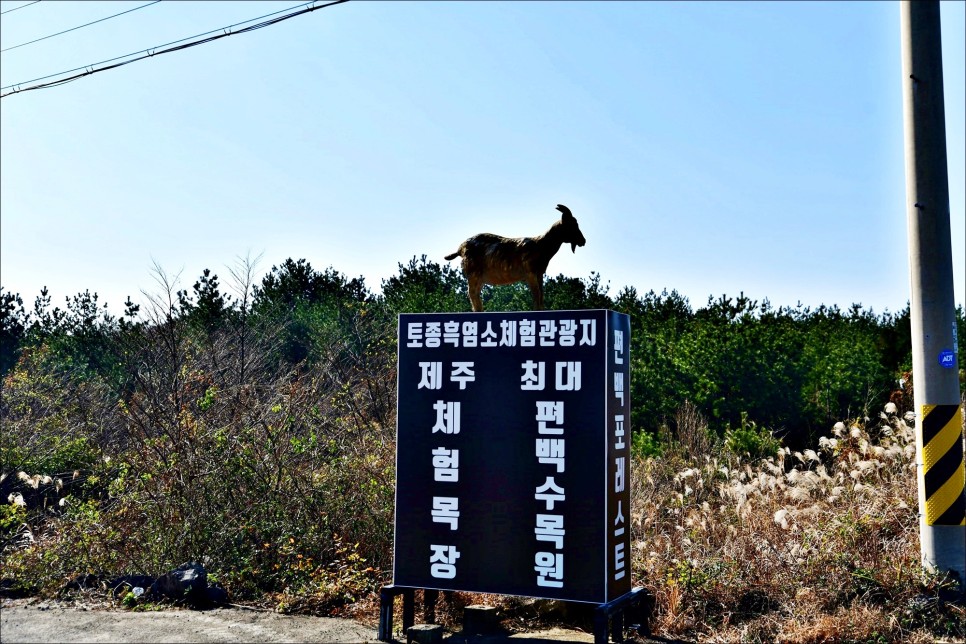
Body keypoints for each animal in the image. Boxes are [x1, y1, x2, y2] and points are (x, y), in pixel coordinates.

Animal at [444, 203, 588, 310]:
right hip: (473, 274)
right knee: (473, 296)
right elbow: (536, 297)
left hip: (478, 278)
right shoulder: (530, 274)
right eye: (572, 225)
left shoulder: (539, 274)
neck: (540, 246)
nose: (583, 241)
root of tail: (460, 248)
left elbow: (541, 298)